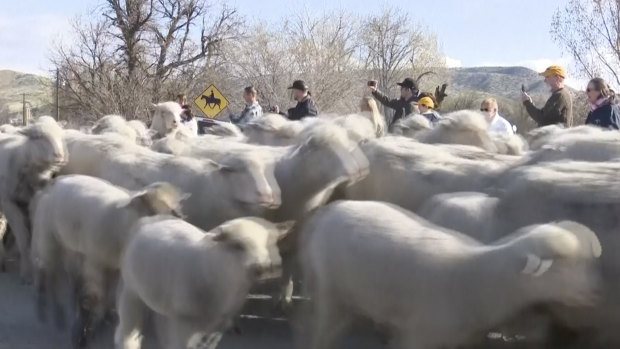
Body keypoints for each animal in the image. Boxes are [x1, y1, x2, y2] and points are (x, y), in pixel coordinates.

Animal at [0, 118, 67, 278]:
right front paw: (26, 271)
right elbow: (22, 238)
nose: (60, 156)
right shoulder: (9, 203)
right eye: (38, 136)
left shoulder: (33, 202)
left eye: (61, 135)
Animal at [30, 174, 184, 346]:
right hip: (49, 237)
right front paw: (86, 330)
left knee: (61, 272)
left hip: (68, 244)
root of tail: (53, 183)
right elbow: (97, 296)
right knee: (48, 271)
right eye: (151, 208)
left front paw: (100, 320)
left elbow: (106, 295)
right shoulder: (95, 261)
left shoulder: (114, 267)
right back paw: (51, 311)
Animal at [114, 216, 284, 346]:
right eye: (238, 245)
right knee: (127, 332)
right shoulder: (185, 323)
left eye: (269, 244)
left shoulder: (219, 325)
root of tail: (150, 218)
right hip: (131, 291)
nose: (265, 268)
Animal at [300, 198, 600, 348]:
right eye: (562, 265)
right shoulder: (420, 335)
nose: (596, 292)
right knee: (321, 332)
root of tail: (329, 211)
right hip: (330, 291)